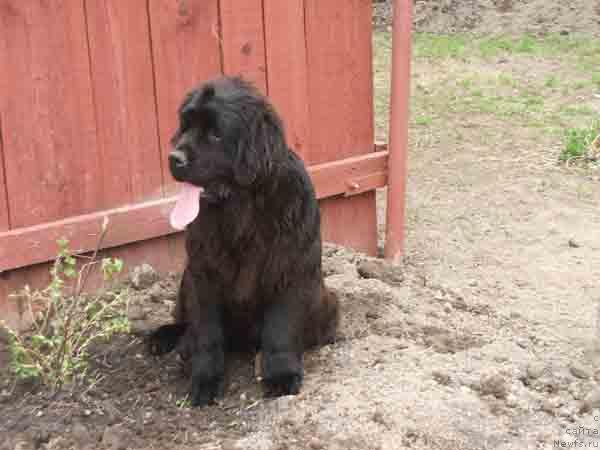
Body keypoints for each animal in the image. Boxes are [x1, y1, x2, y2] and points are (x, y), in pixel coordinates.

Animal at [147, 75, 338, 406]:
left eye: (215, 134)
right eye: (185, 125)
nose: (174, 158)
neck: (243, 211)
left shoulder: (291, 271)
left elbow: (280, 327)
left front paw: (281, 377)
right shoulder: (203, 274)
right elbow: (206, 331)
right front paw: (205, 380)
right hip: (186, 279)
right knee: (186, 321)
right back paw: (168, 339)